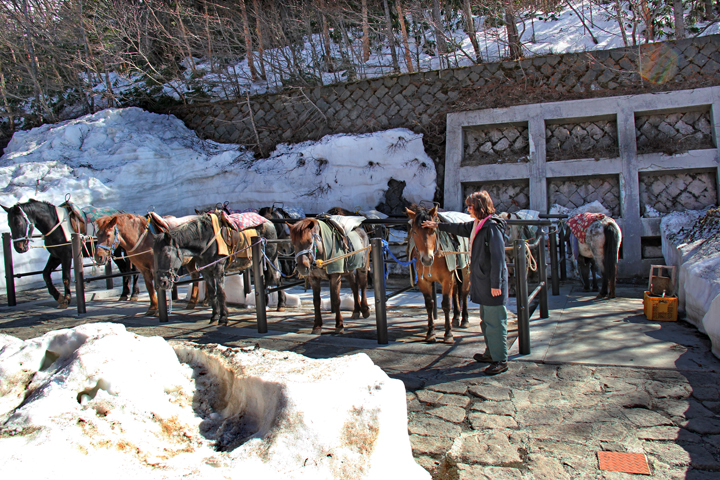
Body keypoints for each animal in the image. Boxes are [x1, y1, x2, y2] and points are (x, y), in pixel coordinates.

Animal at [2, 198, 139, 308]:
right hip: (114, 252)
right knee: (124, 269)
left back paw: (133, 294)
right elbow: (45, 274)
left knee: (133, 269)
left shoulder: (66, 256)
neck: (55, 225)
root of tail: (122, 212)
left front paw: (66, 299)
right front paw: (58, 297)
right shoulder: (56, 256)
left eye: (18, 222)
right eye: (9, 224)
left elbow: (66, 278)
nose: (19, 247)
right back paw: (124, 294)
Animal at [153, 213, 282, 322]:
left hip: (271, 257)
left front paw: (223, 317)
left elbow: (220, 292)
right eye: (154, 254)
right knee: (264, 279)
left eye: (167, 254)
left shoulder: (218, 268)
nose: (162, 282)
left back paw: (280, 305)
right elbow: (212, 293)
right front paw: (214, 316)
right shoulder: (206, 271)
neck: (205, 240)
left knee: (277, 277)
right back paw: (265, 302)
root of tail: (268, 221)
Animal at [408, 204, 470, 344]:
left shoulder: (447, 278)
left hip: (466, 268)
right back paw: (456, 317)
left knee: (464, 291)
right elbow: (429, 304)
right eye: (415, 232)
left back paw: (464, 319)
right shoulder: (423, 281)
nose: (427, 259)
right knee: (456, 290)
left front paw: (448, 334)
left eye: (432, 231)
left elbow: (446, 304)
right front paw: (431, 333)